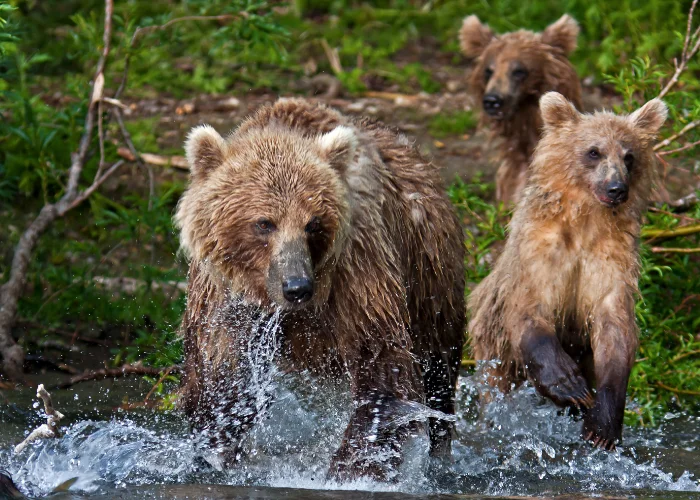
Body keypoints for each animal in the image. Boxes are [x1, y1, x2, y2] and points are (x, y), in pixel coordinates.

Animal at [174, 97, 464, 480]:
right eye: (264, 223)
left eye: (313, 223)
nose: (297, 287)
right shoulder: (222, 292)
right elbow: (220, 369)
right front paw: (218, 446)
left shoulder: (358, 266)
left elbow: (382, 362)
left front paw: (351, 467)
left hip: (430, 279)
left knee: (437, 370)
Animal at [468, 93, 668, 450]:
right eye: (594, 151)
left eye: (629, 155)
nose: (617, 188)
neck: (586, 220)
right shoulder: (540, 252)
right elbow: (529, 308)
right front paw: (568, 384)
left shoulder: (612, 259)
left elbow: (615, 326)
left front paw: (602, 422)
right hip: (493, 350)